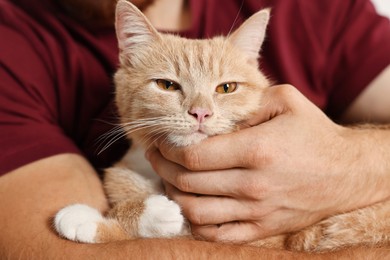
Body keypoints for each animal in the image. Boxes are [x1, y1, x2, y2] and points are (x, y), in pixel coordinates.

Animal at [53, 0, 388, 252]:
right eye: (166, 85)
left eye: (226, 88)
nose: (200, 113)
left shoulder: (260, 239)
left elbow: (184, 230)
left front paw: (93, 219)